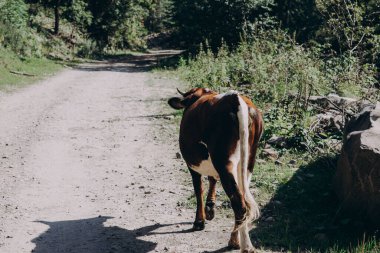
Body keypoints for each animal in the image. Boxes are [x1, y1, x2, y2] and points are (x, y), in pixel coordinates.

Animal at [169, 88, 264, 252]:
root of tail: (234, 98)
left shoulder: (192, 166)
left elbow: (198, 189)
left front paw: (199, 221)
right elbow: (212, 179)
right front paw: (210, 208)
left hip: (224, 163)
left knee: (239, 203)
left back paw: (242, 244)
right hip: (247, 163)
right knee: (243, 199)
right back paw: (237, 239)